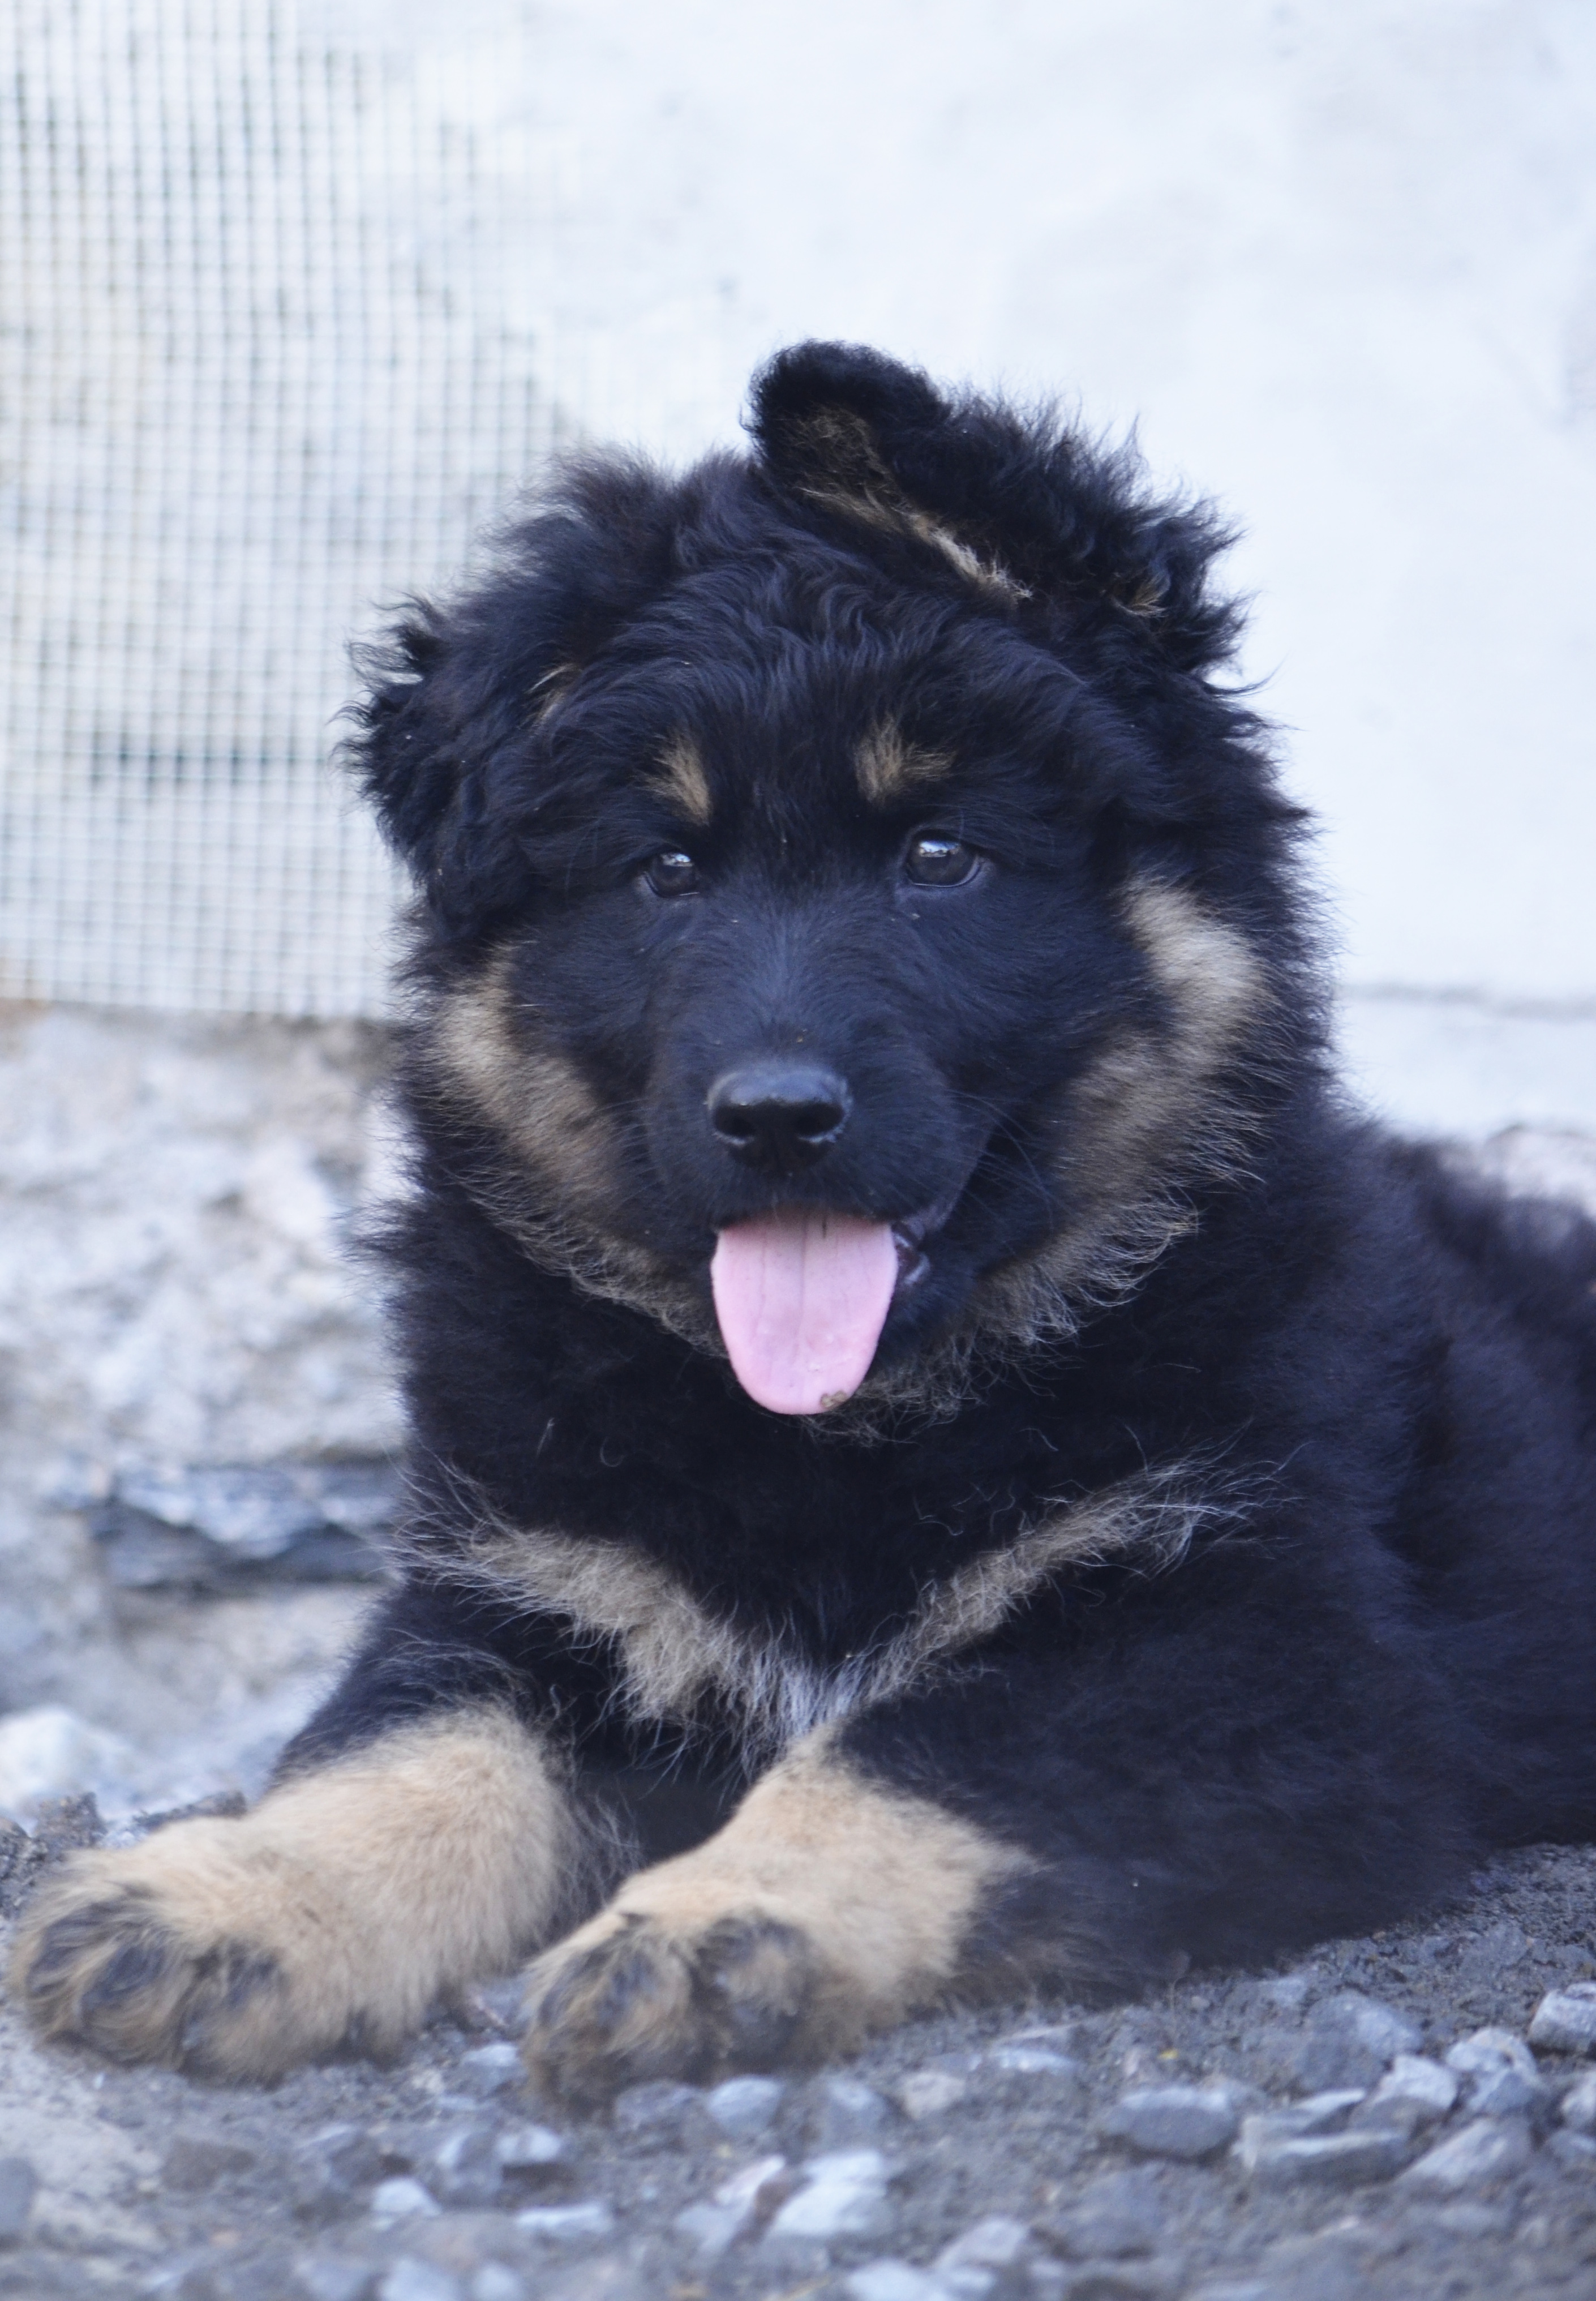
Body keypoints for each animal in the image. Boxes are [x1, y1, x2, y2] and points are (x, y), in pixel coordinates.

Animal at [14, 342, 1596, 2103]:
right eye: (664, 870)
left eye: (936, 854)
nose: (774, 1116)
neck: (838, 1432)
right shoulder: (526, 1591)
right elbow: (401, 1751)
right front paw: (231, 1892)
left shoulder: (1261, 1640)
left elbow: (911, 1742)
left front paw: (719, 1921)